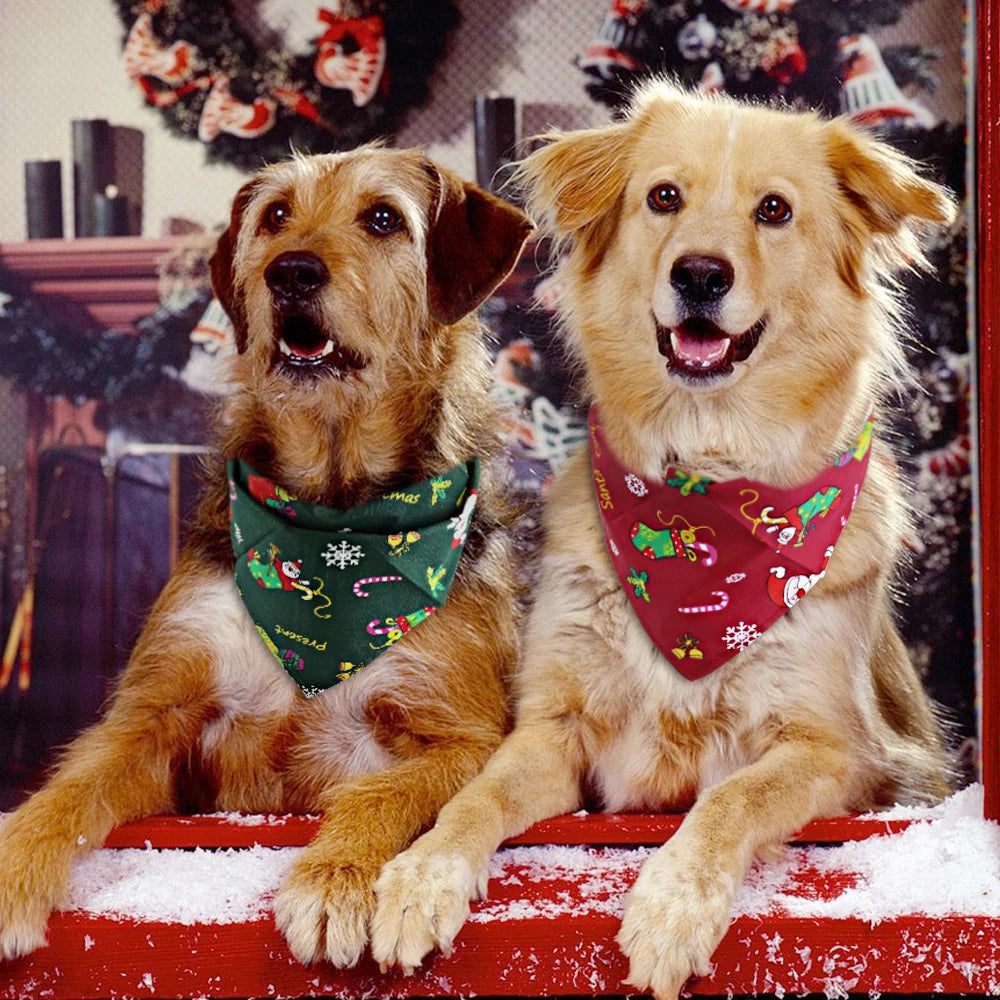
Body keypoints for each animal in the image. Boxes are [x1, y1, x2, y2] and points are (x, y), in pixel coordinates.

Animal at [0, 146, 532, 968]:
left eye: (384, 218)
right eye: (276, 215)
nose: (292, 272)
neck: (335, 520)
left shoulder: (462, 736)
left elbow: (381, 792)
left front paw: (334, 875)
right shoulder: (154, 718)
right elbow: (66, 790)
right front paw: (12, 867)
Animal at [372, 82, 956, 996]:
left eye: (775, 210)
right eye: (665, 198)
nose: (700, 275)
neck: (704, 497)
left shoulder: (838, 751)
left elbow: (732, 800)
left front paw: (673, 906)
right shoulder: (554, 730)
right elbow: (478, 798)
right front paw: (421, 877)